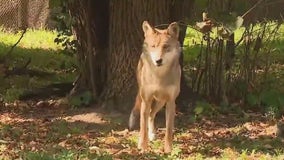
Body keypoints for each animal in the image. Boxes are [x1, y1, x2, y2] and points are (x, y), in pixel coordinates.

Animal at [128, 20, 181, 153]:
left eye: (165, 47)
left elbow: (168, 130)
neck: (159, 77)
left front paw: (168, 150)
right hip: (146, 99)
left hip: (161, 101)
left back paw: (152, 134)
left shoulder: (171, 102)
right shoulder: (146, 100)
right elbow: (142, 128)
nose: (158, 61)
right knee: (147, 117)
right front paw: (143, 147)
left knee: (152, 115)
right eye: (153, 46)